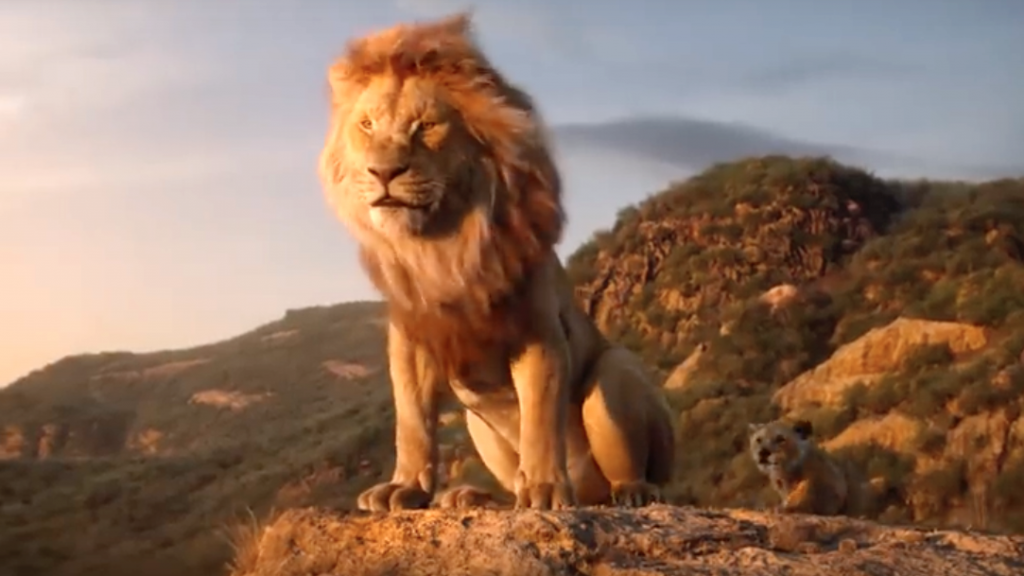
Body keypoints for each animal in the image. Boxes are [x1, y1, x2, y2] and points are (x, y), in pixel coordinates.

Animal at [317, 13, 677, 511]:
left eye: (426, 125)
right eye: (367, 125)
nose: (383, 172)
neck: (441, 246)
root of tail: (590, 495)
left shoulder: (538, 330)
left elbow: (540, 417)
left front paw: (544, 489)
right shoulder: (411, 339)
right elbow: (412, 422)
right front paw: (404, 488)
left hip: (617, 371)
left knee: (632, 469)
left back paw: (632, 491)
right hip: (478, 425)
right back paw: (472, 497)